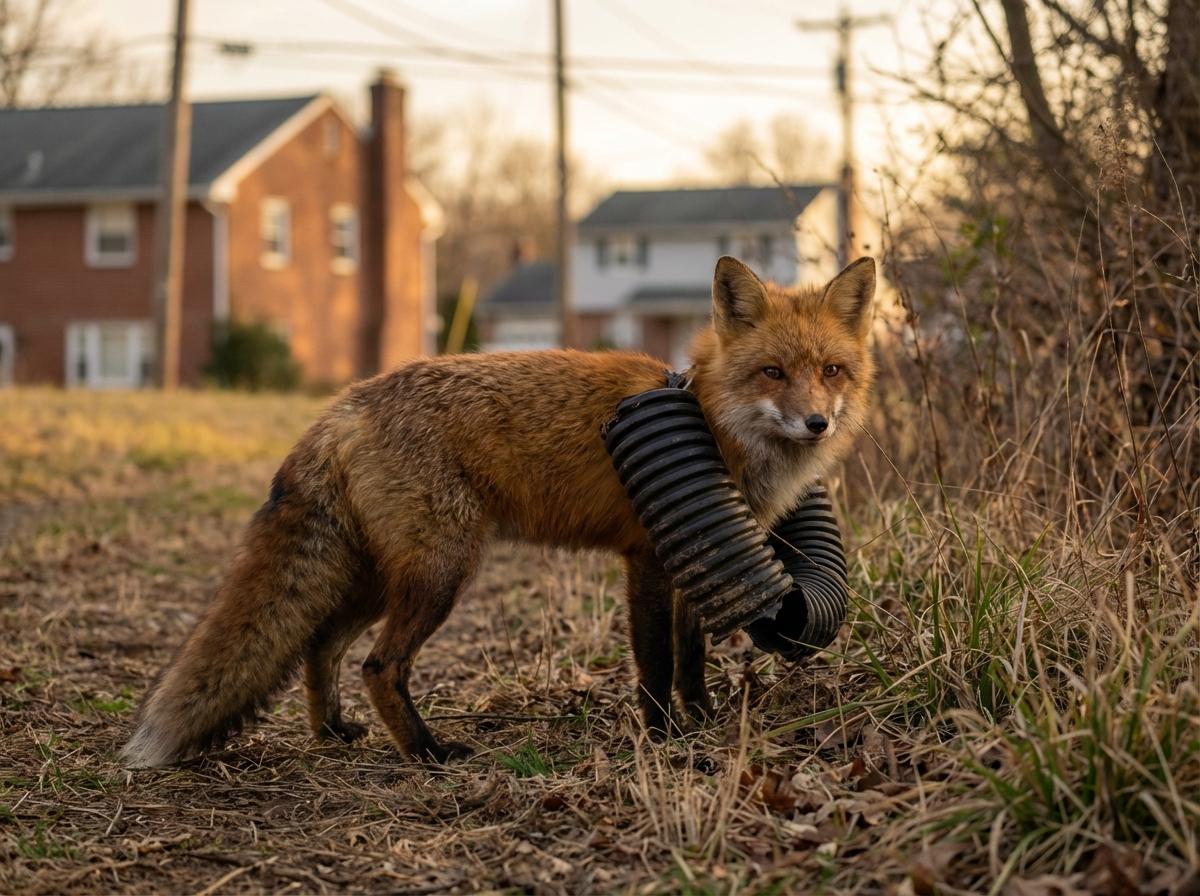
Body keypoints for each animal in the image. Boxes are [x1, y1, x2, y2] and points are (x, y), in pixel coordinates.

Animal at [121, 255, 877, 768]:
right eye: (772, 373)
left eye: (831, 371)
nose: (817, 423)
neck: (711, 422)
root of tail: (346, 404)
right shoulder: (648, 559)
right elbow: (657, 663)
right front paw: (663, 735)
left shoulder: (701, 555)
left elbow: (691, 658)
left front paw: (704, 720)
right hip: (441, 572)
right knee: (377, 665)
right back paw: (428, 752)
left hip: (377, 577)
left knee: (322, 645)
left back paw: (333, 731)